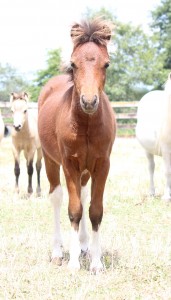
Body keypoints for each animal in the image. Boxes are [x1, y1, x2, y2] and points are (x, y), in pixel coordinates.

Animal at [38, 18, 116, 272]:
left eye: (106, 64)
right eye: (73, 63)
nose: (89, 101)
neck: (87, 126)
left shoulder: (102, 165)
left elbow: (95, 211)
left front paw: (96, 263)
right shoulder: (69, 164)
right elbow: (74, 210)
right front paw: (72, 263)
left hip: (85, 169)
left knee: (82, 195)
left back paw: (83, 247)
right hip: (50, 161)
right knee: (56, 197)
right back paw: (58, 253)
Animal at [136, 72, 171, 202]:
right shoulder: (166, 150)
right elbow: (168, 171)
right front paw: (167, 197)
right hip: (147, 150)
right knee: (151, 168)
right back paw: (151, 192)